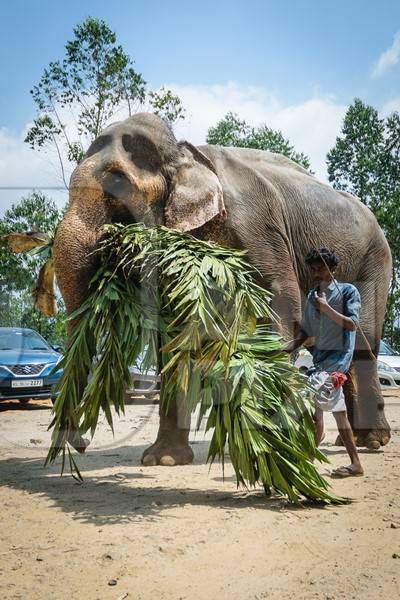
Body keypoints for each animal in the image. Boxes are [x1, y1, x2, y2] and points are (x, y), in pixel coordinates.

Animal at [52, 110, 390, 462]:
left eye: (118, 182)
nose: (83, 444)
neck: (185, 153)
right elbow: (175, 336)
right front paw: (163, 459)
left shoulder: (256, 227)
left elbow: (278, 306)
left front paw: (272, 450)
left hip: (373, 263)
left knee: (363, 339)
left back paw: (371, 440)